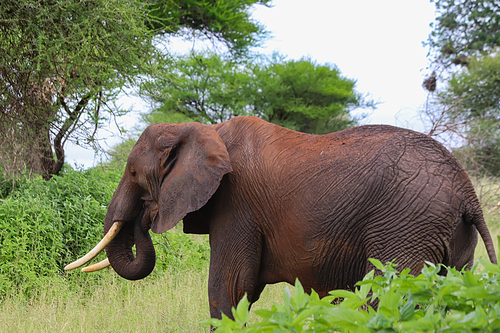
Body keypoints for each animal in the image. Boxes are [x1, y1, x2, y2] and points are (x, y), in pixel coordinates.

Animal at [66, 115, 496, 318]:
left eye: (132, 173)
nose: (144, 215)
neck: (202, 129)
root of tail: (467, 192)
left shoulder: (236, 204)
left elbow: (229, 287)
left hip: (406, 229)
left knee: (382, 298)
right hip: (450, 237)